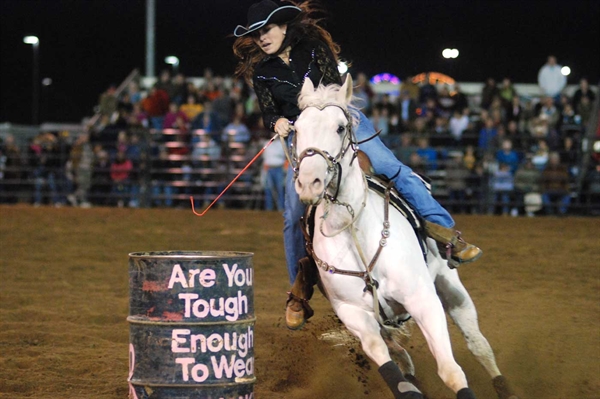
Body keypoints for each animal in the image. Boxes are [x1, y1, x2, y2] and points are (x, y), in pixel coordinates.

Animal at [292, 76, 516, 399]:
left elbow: (450, 370)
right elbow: (387, 360)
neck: (355, 233)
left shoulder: (423, 299)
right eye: (296, 129)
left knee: (478, 344)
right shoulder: (353, 314)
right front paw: (407, 385)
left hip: (450, 286)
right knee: (398, 350)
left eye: (340, 127)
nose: (310, 182)